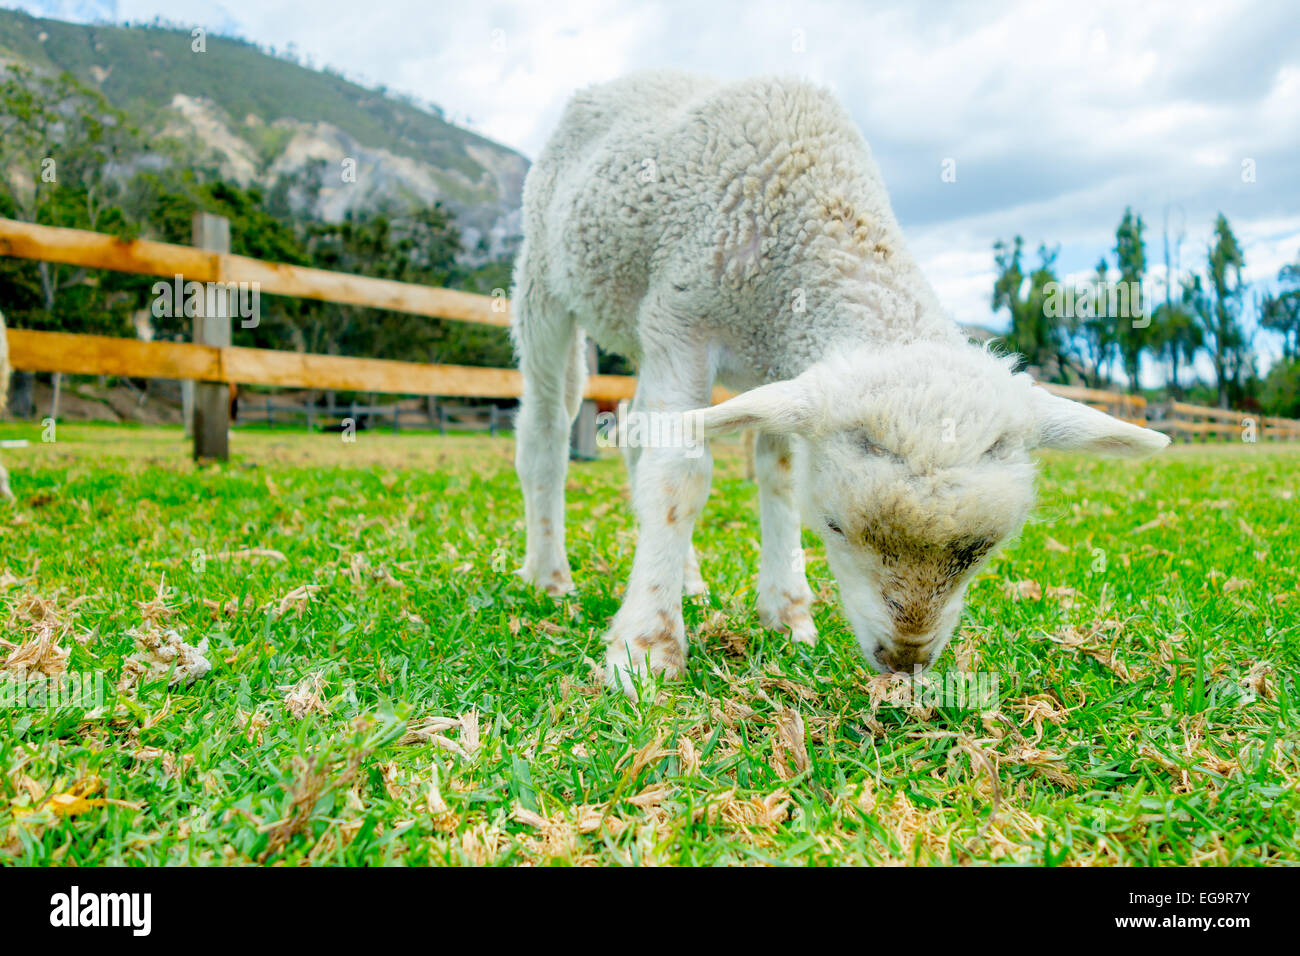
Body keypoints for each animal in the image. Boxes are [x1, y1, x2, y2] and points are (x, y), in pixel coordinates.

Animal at [511, 71, 1169, 694]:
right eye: (834, 526)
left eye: (980, 551)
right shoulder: (682, 320)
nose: (903, 662)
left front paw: (787, 612)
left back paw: (689, 578)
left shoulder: (782, 361)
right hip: (545, 281)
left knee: (635, 438)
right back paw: (550, 575)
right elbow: (679, 480)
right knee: (547, 431)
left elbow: (773, 471)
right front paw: (646, 649)